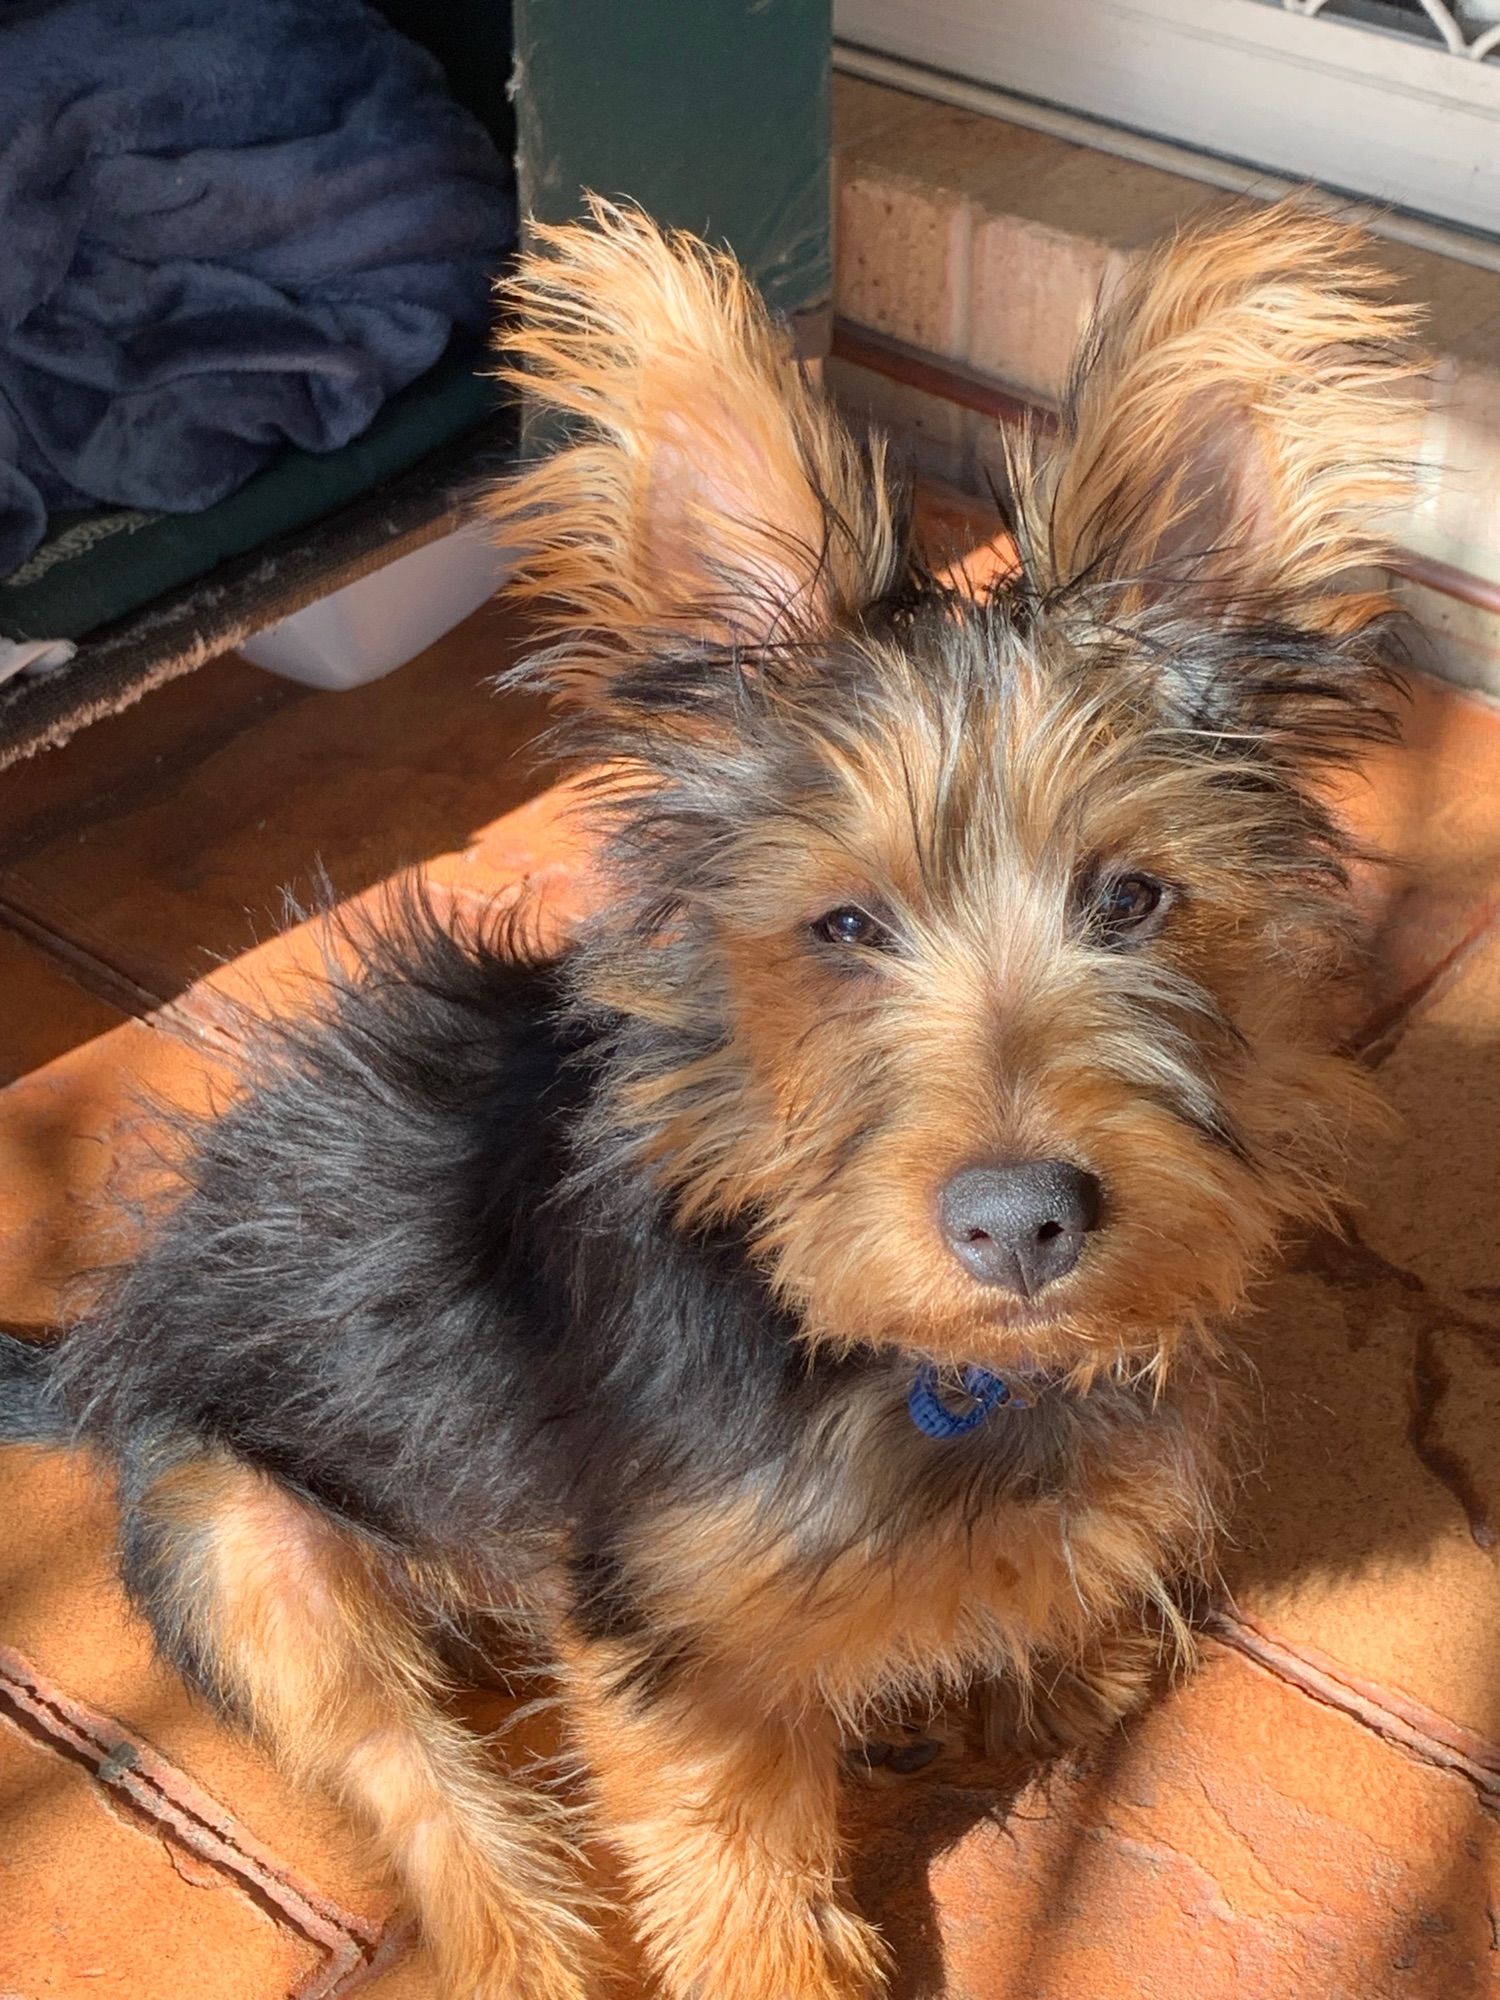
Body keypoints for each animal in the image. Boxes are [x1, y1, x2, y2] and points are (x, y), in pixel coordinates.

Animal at [2, 191, 1424, 2000]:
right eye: (844, 928)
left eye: (1132, 899)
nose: (1022, 1221)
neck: (914, 1372)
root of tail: (96, 1354)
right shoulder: (675, 1656)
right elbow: (741, 1880)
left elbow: (1066, 1604)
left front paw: (1009, 1675)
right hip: (235, 1532)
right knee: (417, 1781)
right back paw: (522, 1930)